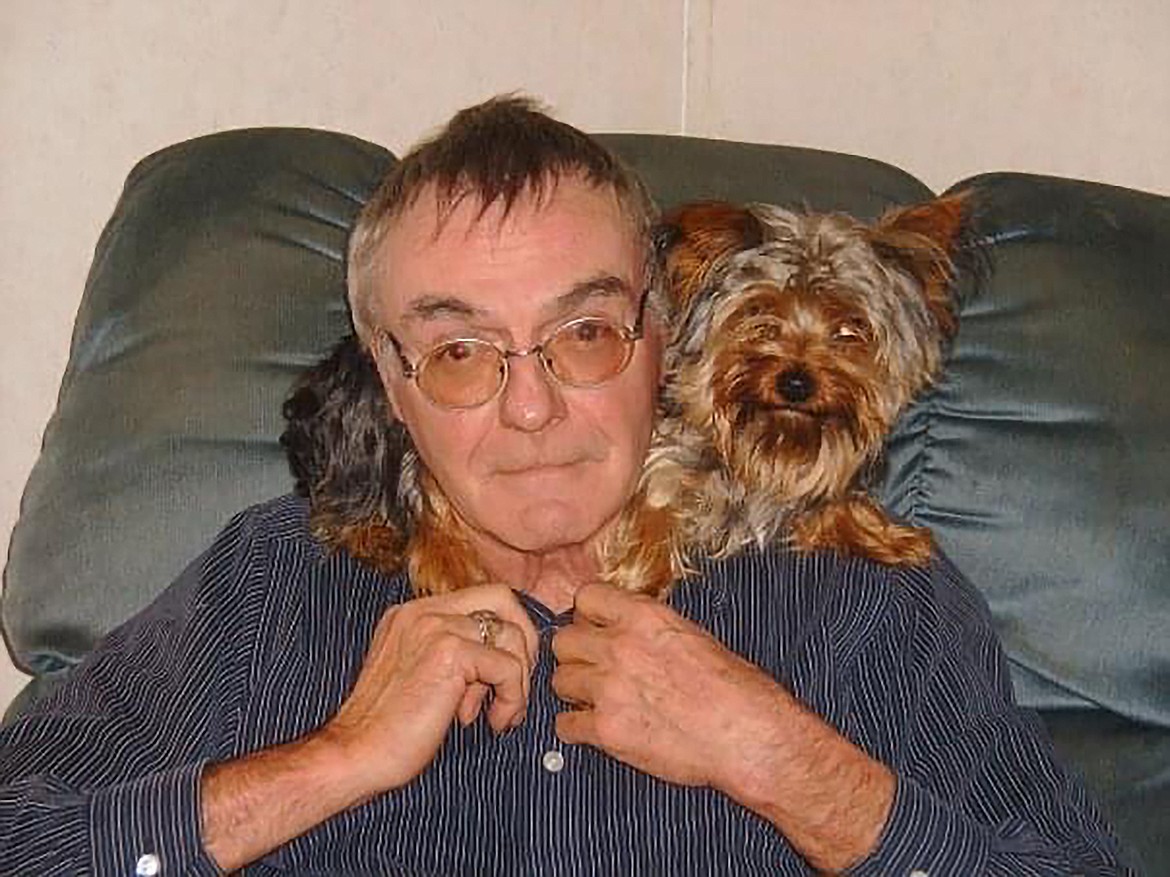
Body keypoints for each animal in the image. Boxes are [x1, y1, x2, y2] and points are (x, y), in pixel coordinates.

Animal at [603, 197, 968, 598]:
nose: (796, 383)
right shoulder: (668, 454)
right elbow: (657, 493)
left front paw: (883, 536)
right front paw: (639, 579)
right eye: (760, 314)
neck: (771, 440)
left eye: (849, 329)